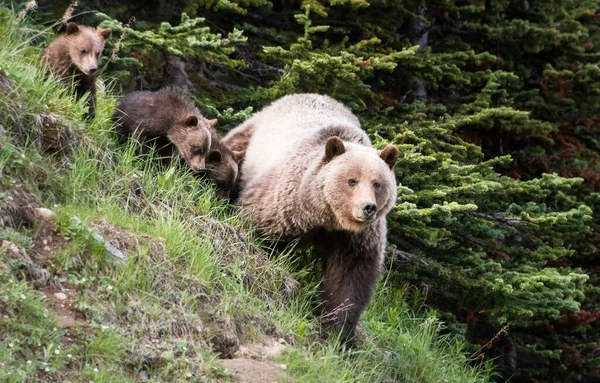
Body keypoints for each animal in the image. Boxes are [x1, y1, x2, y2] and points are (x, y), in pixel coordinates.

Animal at [223, 94, 400, 340]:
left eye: (377, 183)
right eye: (352, 180)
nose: (368, 208)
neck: (325, 218)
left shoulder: (356, 239)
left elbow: (350, 280)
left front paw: (338, 330)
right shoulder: (284, 204)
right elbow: (259, 229)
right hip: (251, 136)